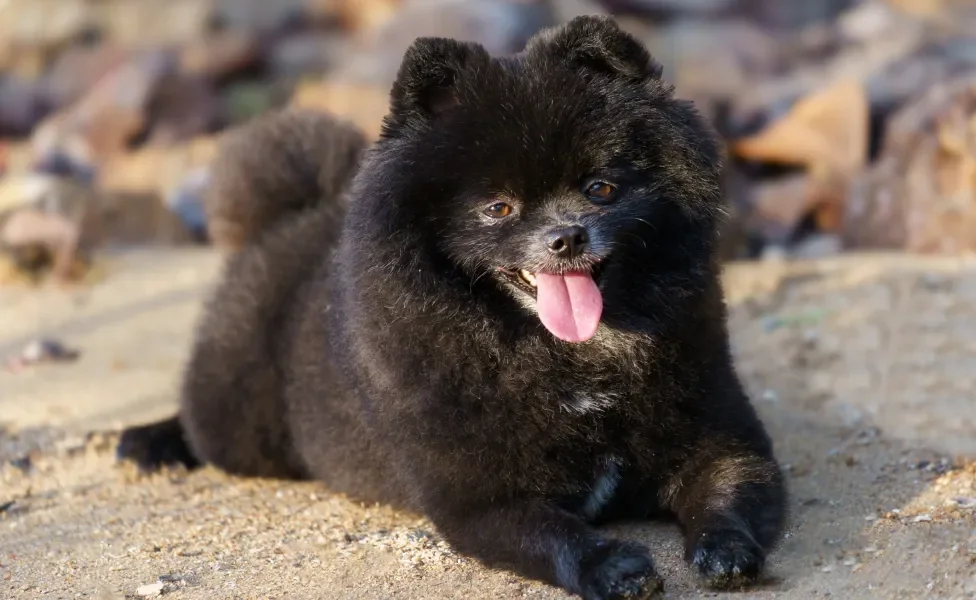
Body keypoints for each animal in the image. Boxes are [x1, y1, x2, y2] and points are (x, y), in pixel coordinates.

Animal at [118, 15, 788, 600]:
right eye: (498, 208)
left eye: (600, 188)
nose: (567, 236)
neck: (570, 358)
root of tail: (285, 221)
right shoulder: (483, 498)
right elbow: (558, 534)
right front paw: (612, 566)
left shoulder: (723, 439)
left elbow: (729, 490)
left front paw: (728, 547)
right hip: (238, 425)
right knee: (200, 421)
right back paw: (147, 441)